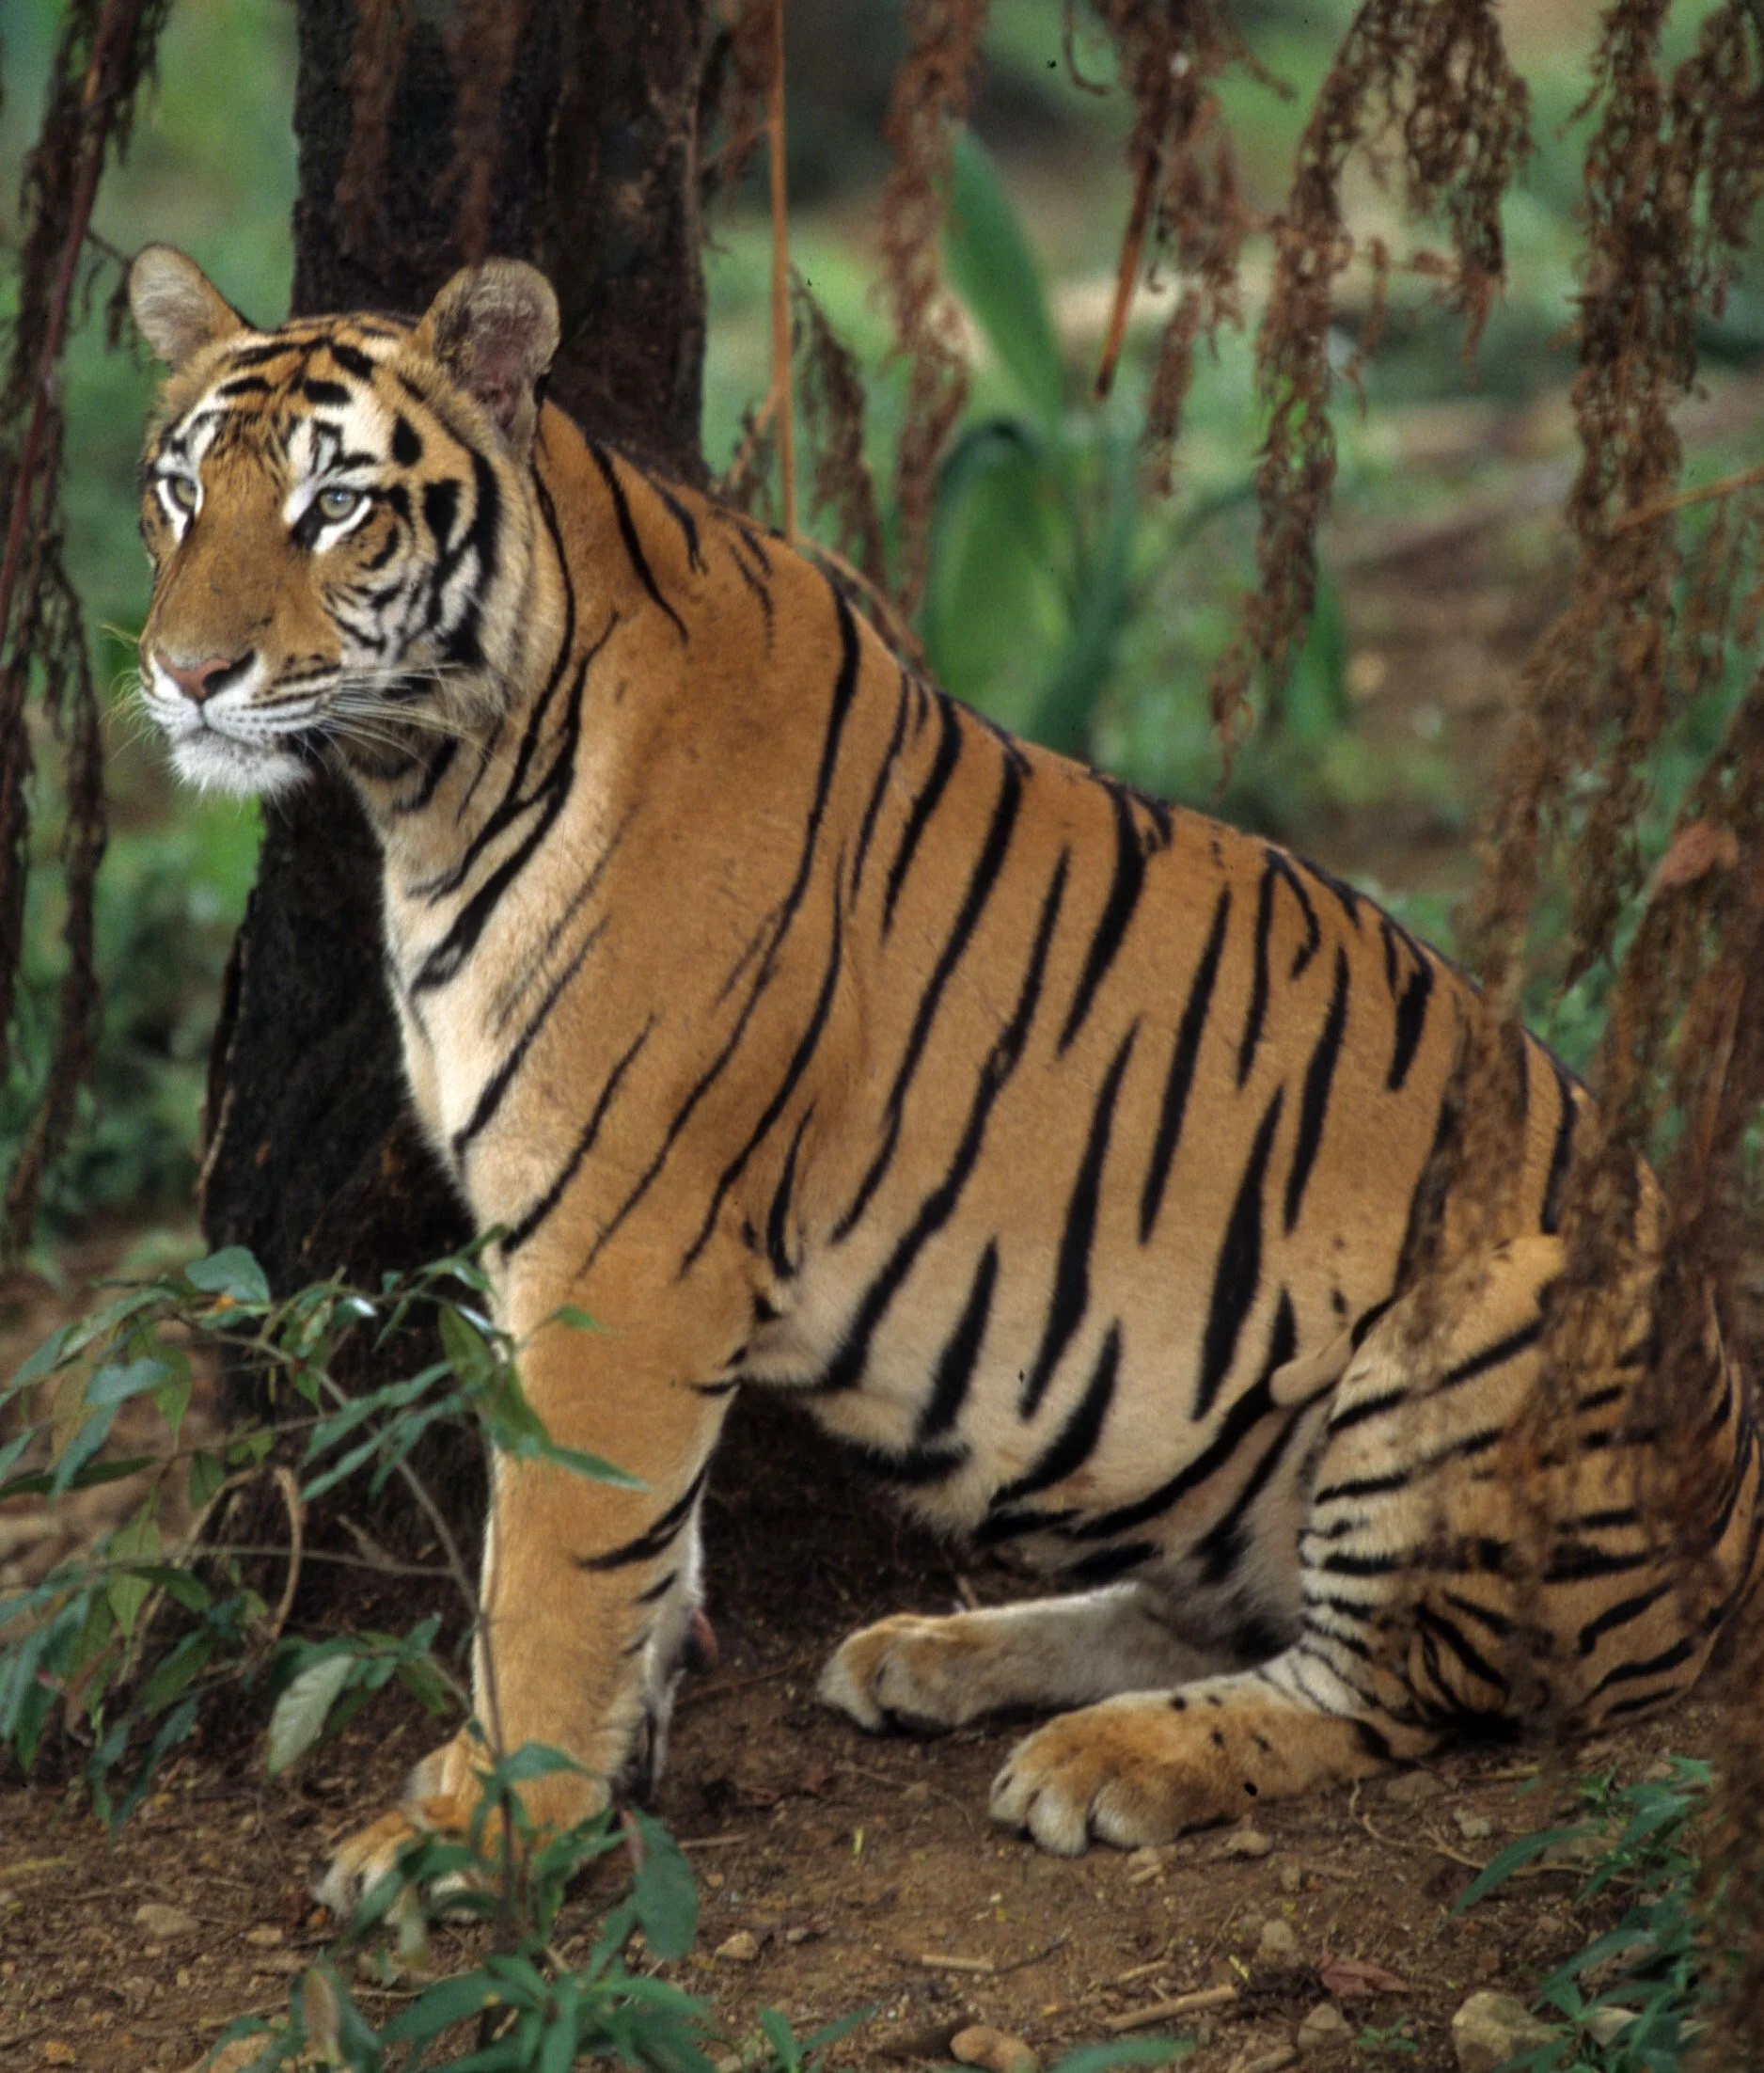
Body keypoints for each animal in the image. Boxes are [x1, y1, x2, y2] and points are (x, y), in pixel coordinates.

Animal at [126, 243, 1762, 1903]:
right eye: (182, 493)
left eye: (337, 506)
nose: (187, 675)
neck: (431, 786)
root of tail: (1736, 1501)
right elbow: (645, 1560)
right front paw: (590, 1772)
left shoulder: (619, 1254)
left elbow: (559, 1565)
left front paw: (488, 1828)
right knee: (1216, 1611)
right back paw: (932, 1657)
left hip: (1480, 1333)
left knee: (1380, 1683)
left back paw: (1108, 1762)